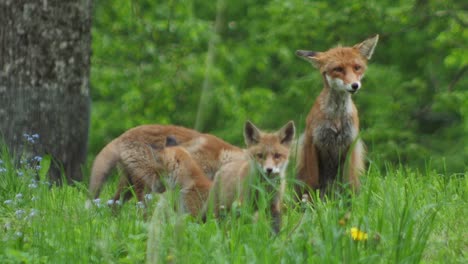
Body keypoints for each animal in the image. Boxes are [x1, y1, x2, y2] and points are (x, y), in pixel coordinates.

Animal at [296, 35, 380, 198]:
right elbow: (312, 181)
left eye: (357, 67)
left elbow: (350, 183)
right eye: (338, 69)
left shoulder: (351, 143)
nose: (355, 85)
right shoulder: (312, 142)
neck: (336, 118)